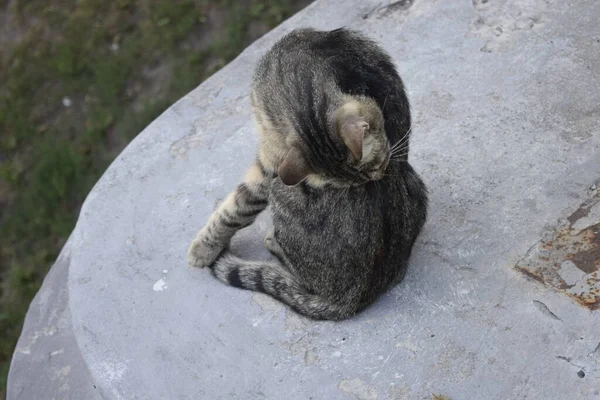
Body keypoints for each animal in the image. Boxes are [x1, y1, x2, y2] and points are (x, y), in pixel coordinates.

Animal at [188, 27, 426, 322]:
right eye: (379, 165)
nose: (380, 176)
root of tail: (352, 299)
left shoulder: (271, 161)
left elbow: (237, 206)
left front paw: (203, 249)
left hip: (281, 190)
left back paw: (274, 243)